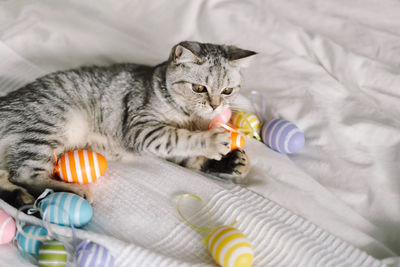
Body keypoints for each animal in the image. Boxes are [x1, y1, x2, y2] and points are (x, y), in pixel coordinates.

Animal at [0, 40, 256, 207]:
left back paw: (21, 199)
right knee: (25, 175)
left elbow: (193, 159)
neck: (191, 117)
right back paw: (74, 192)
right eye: (199, 88)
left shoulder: (169, 150)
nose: (215, 106)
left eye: (228, 90)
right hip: (51, 125)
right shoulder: (143, 130)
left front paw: (232, 161)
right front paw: (212, 141)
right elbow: (180, 136)